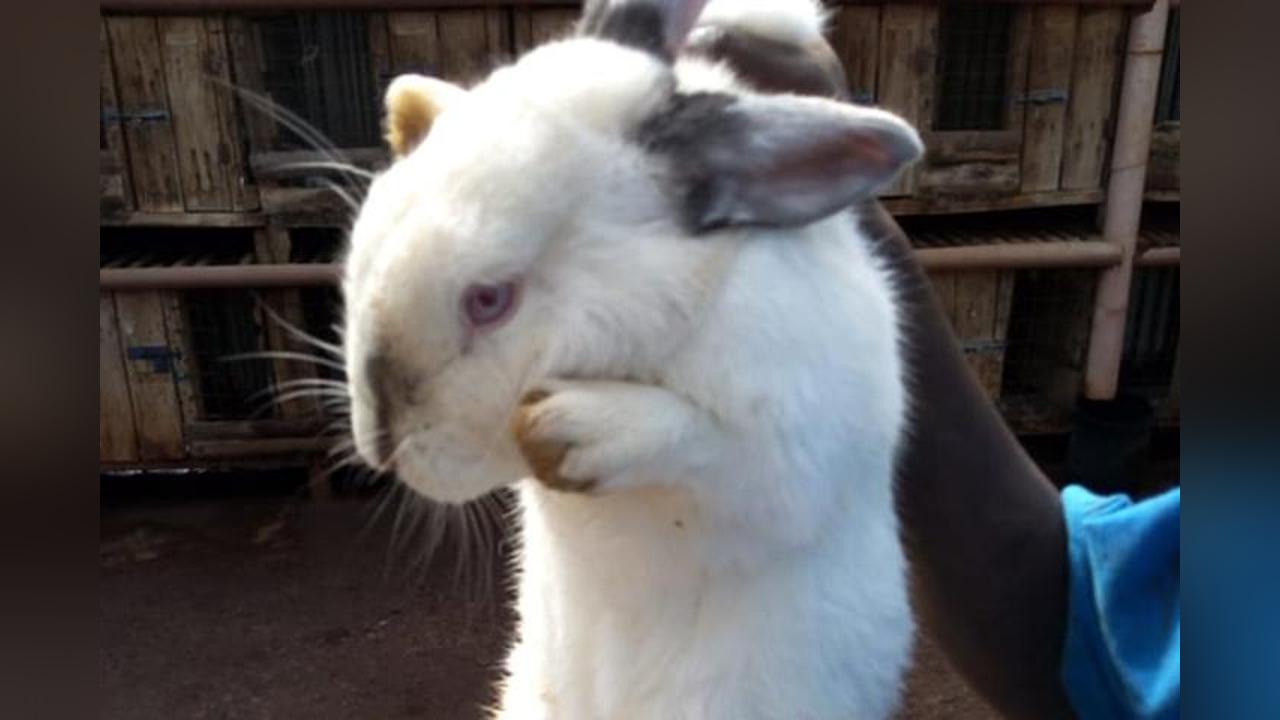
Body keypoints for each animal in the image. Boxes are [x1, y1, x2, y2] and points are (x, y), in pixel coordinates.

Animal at [342, 0, 923, 717]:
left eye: (490, 300)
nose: (379, 438)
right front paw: (413, 102)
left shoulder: (792, 451)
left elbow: (710, 446)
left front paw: (571, 429)